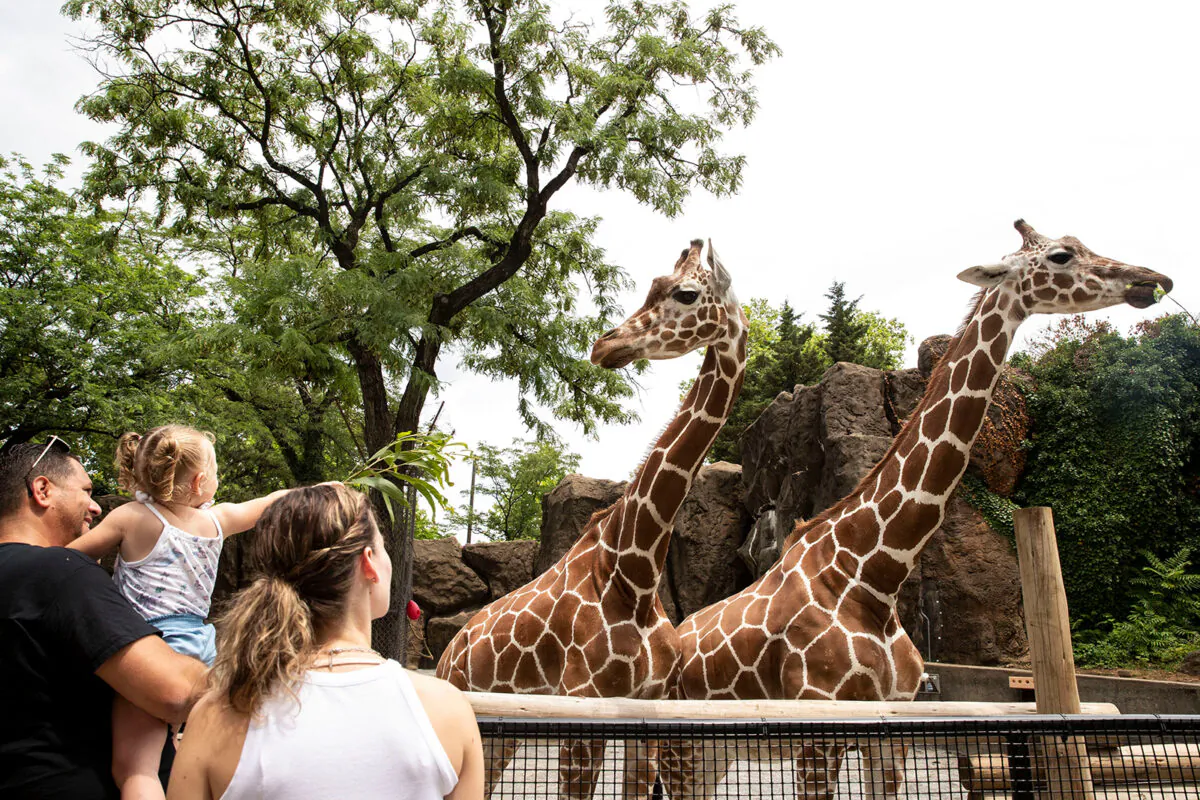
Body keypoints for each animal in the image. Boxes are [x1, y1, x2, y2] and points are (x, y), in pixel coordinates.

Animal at [437, 239, 748, 798]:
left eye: (685, 293)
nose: (604, 346)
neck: (636, 573)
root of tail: (448, 652)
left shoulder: (648, 710)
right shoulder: (582, 707)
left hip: (503, 735)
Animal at [662, 220, 1173, 799]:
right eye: (1062, 256)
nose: (1153, 280)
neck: (872, 580)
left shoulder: (891, 735)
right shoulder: (817, 733)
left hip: (716, 751)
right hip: (680, 747)